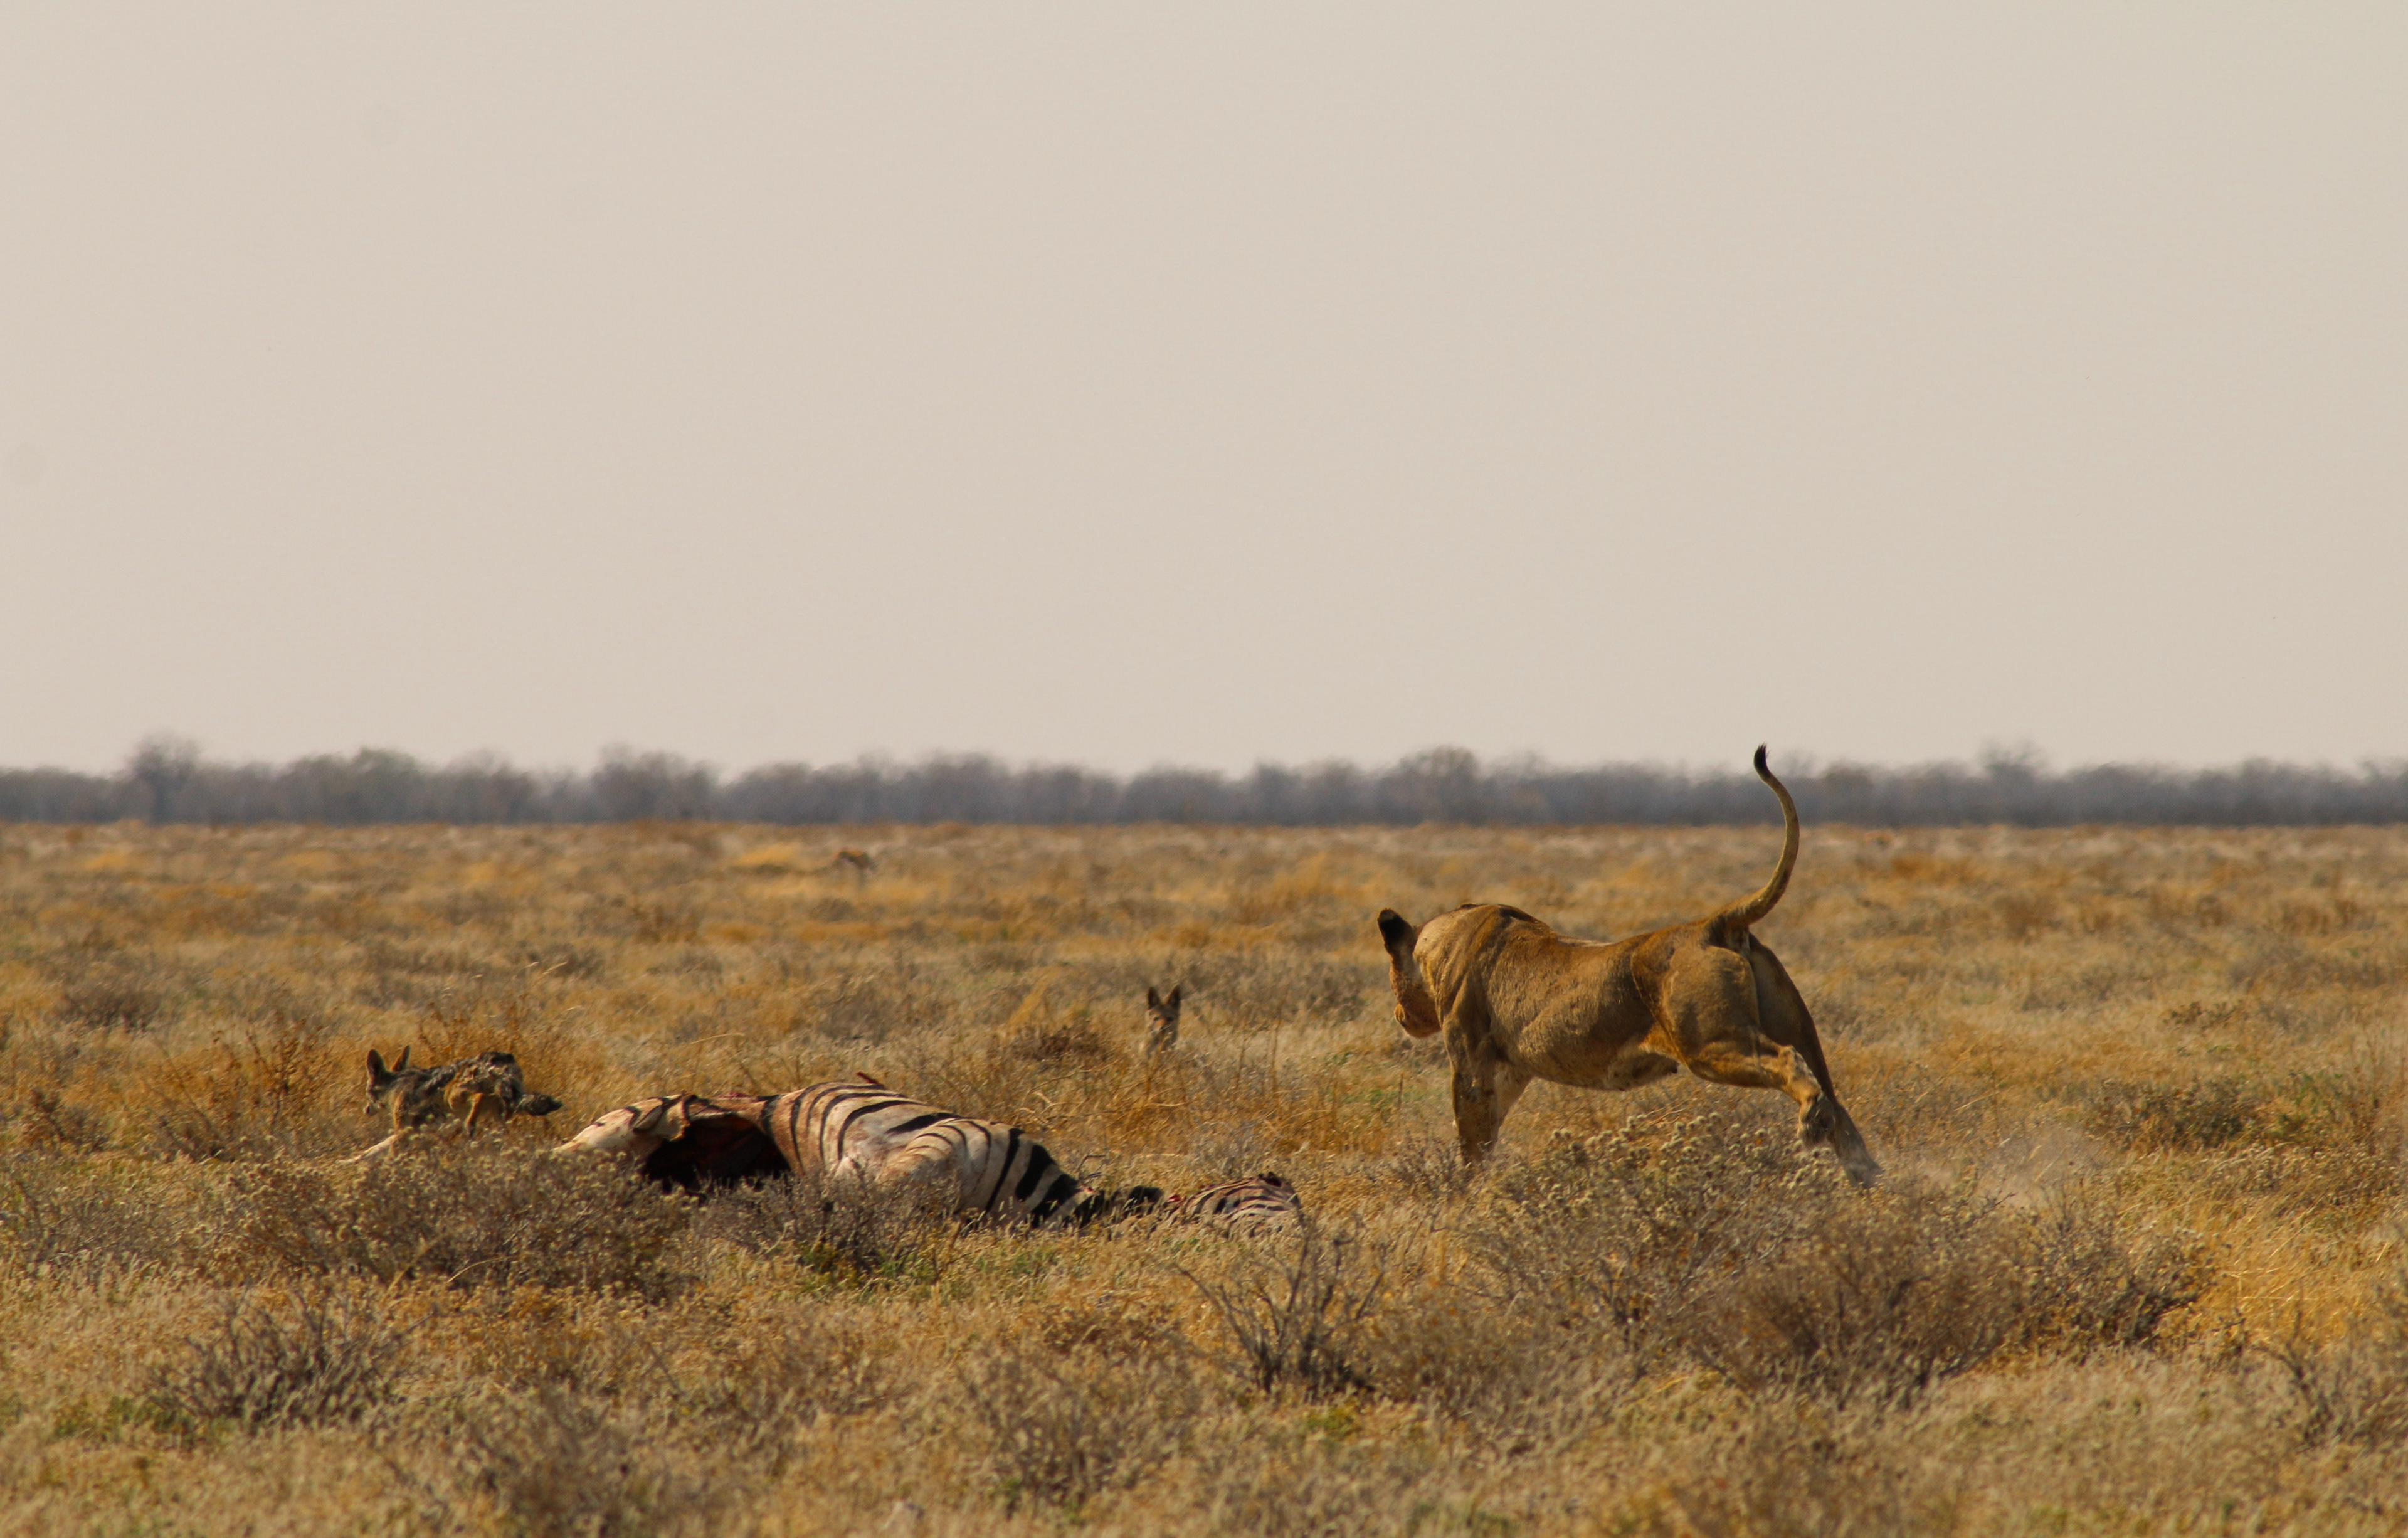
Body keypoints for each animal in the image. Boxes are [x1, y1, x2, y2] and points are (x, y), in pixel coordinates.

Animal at [1375, 746, 1880, 1186]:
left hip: (1710, 1044)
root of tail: (1714, 924)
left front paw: (1464, 1194)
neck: (1439, 942)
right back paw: (1866, 1177)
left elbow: (1472, 1144)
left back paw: (1812, 1123)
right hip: (1798, 1029)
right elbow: (1485, 1138)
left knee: (1788, 1062)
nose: (1399, 1016)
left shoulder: (1473, 1066)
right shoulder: (1511, 1071)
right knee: (1839, 1105)